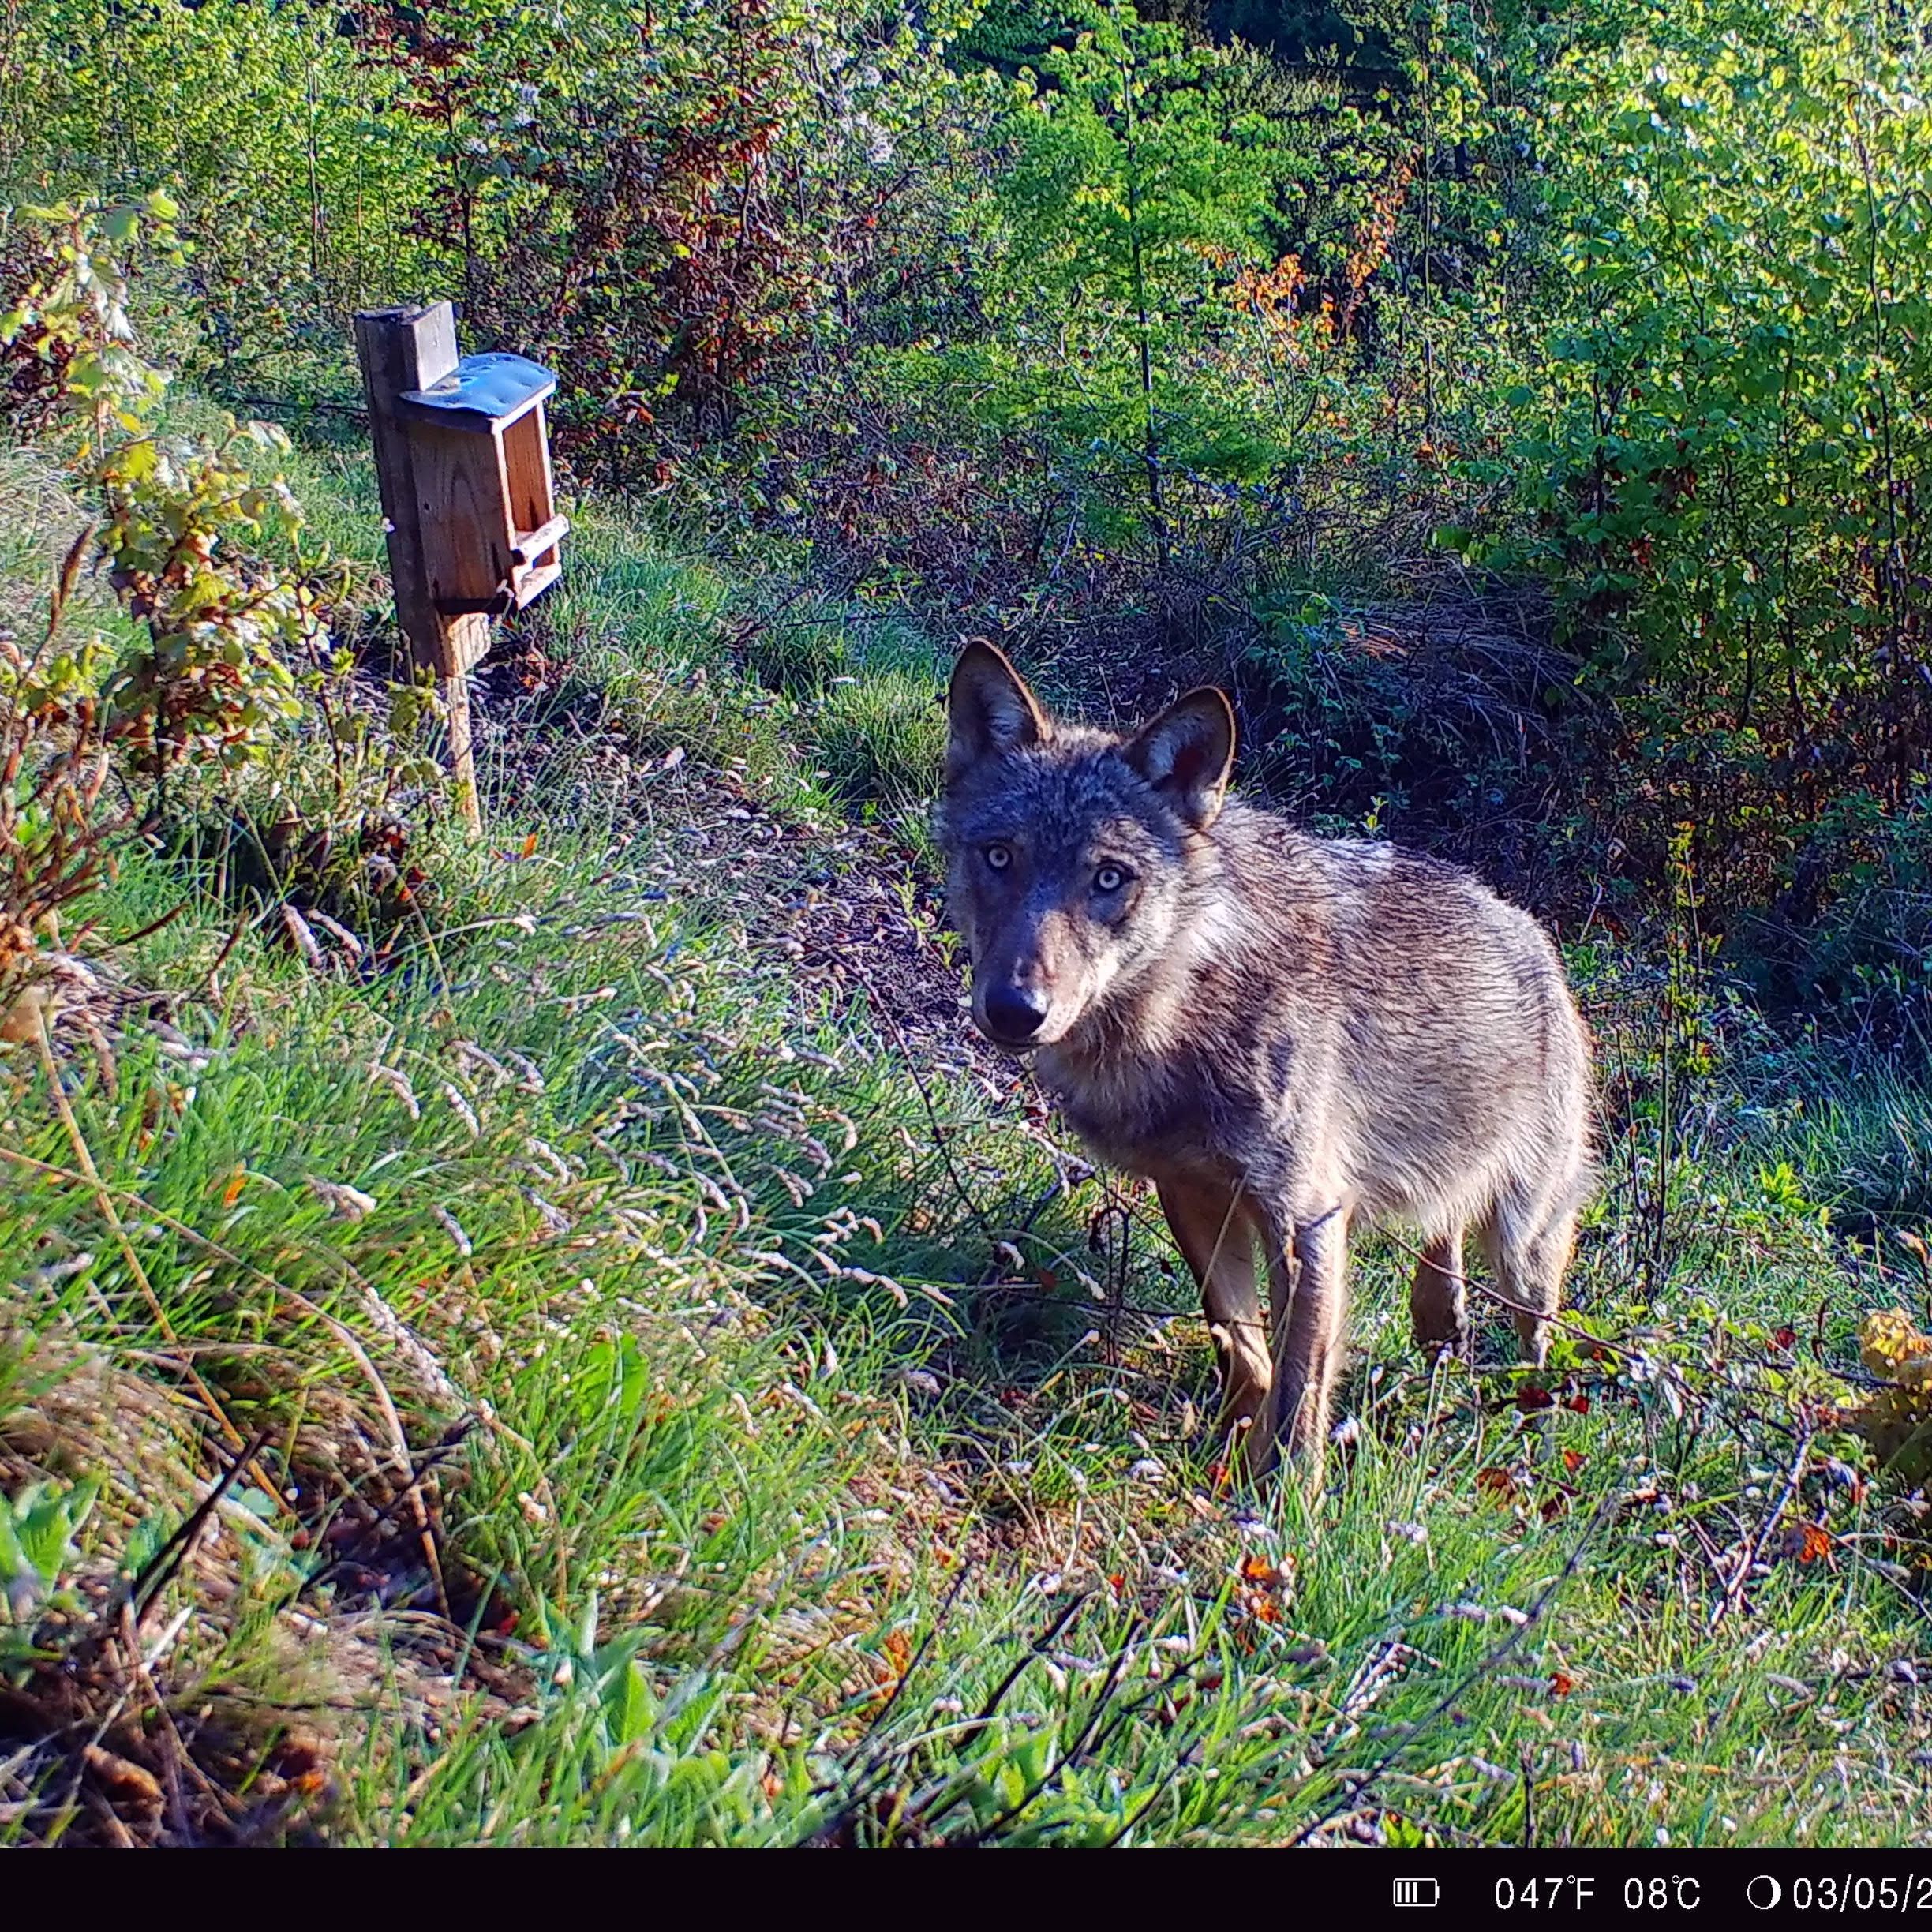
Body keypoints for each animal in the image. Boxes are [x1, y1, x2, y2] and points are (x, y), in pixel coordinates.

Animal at [935, 641, 1595, 1481]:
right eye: (998, 857)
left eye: (1110, 878)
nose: (1016, 1010)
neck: (1183, 1010)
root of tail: (1534, 933)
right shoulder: (1190, 1195)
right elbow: (1241, 1346)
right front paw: (1224, 1445)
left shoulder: (1304, 1217)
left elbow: (1298, 1384)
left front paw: (1281, 1497)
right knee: (1443, 1243)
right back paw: (1440, 1327)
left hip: (1523, 1244)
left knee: (1533, 1331)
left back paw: (1525, 1423)